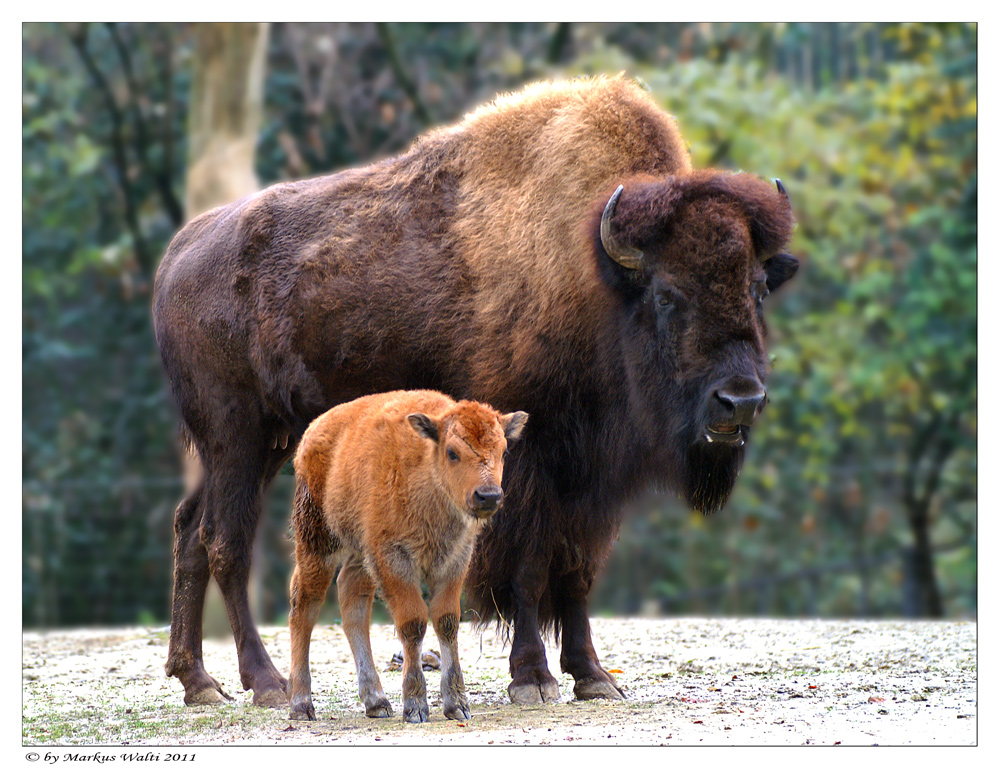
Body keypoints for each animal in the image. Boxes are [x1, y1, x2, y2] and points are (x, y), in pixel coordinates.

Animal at [286, 390, 528, 720]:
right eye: (452, 452)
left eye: (503, 451)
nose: (488, 496)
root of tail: (312, 432)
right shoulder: (394, 559)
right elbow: (413, 621)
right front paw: (415, 706)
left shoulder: (455, 560)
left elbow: (447, 621)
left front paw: (457, 705)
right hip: (317, 541)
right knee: (305, 605)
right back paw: (301, 704)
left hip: (361, 554)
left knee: (353, 603)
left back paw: (376, 701)